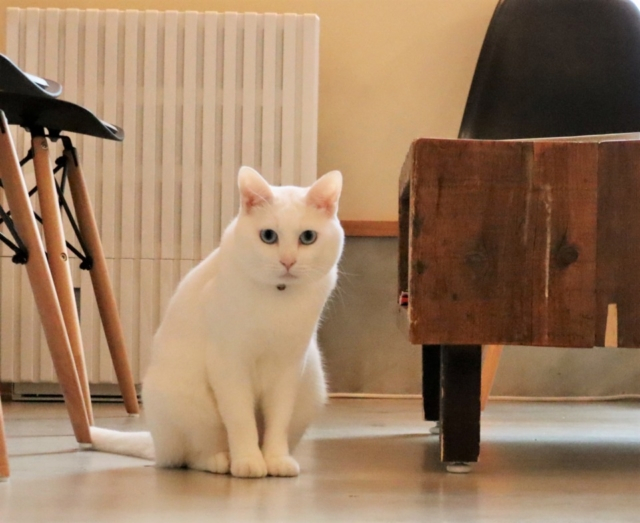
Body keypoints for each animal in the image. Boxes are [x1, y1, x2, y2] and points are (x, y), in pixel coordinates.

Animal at [90, 167, 344, 478]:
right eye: (268, 236)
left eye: (308, 237)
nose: (287, 261)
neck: (277, 297)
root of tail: (157, 444)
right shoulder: (229, 364)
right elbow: (241, 419)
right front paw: (248, 460)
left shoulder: (289, 368)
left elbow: (278, 421)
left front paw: (275, 459)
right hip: (189, 405)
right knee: (190, 456)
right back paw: (221, 460)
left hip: (312, 386)